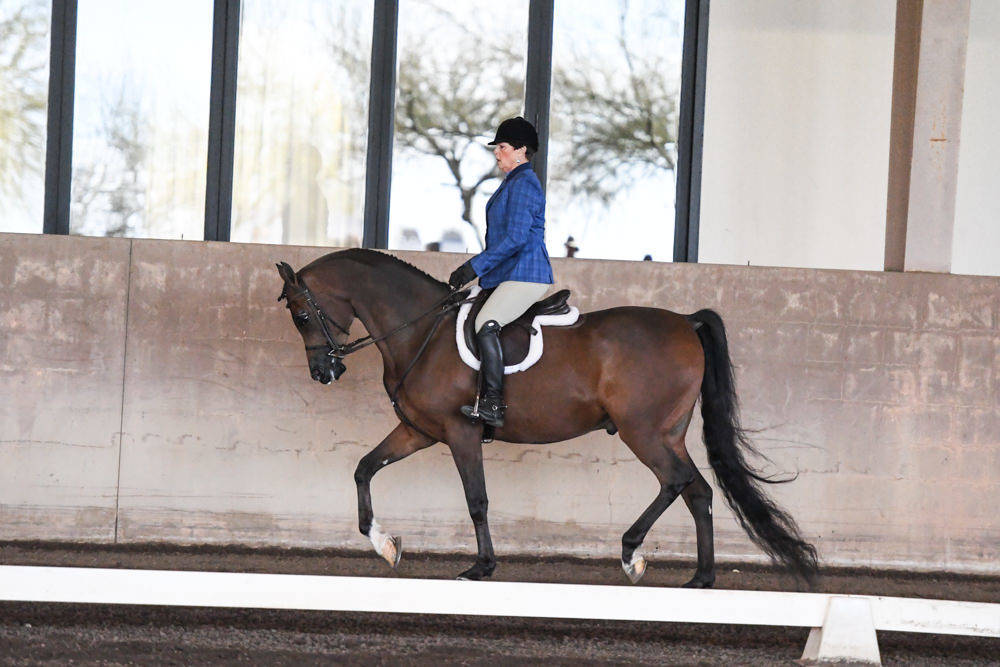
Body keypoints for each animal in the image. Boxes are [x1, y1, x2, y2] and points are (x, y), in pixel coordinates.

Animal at [276, 248, 818, 586]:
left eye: (302, 315)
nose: (324, 372)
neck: (419, 332)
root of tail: (686, 321)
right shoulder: (418, 430)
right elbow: (364, 468)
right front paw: (384, 543)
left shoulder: (460, 431)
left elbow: (477, 500)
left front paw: (482, 567)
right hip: (668, 432)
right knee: (697, 490)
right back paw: (700, 578)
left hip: (643, 431)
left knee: (676, 481)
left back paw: (632, 554)